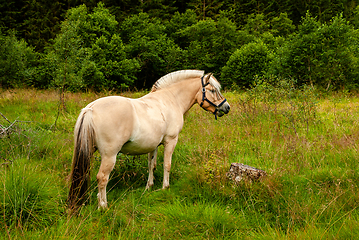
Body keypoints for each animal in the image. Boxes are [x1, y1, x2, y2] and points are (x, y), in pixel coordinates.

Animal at [67, 69, 231, 210]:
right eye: (212, 90)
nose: (227, 107)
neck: (171, 100)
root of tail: (90, 109)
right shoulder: (171, 141)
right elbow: (167, 165)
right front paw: (165, 187)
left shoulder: (154, 145)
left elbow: (152, 165)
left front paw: (149, 186)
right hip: (109, 155)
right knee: (102, 178)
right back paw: (103, 206)